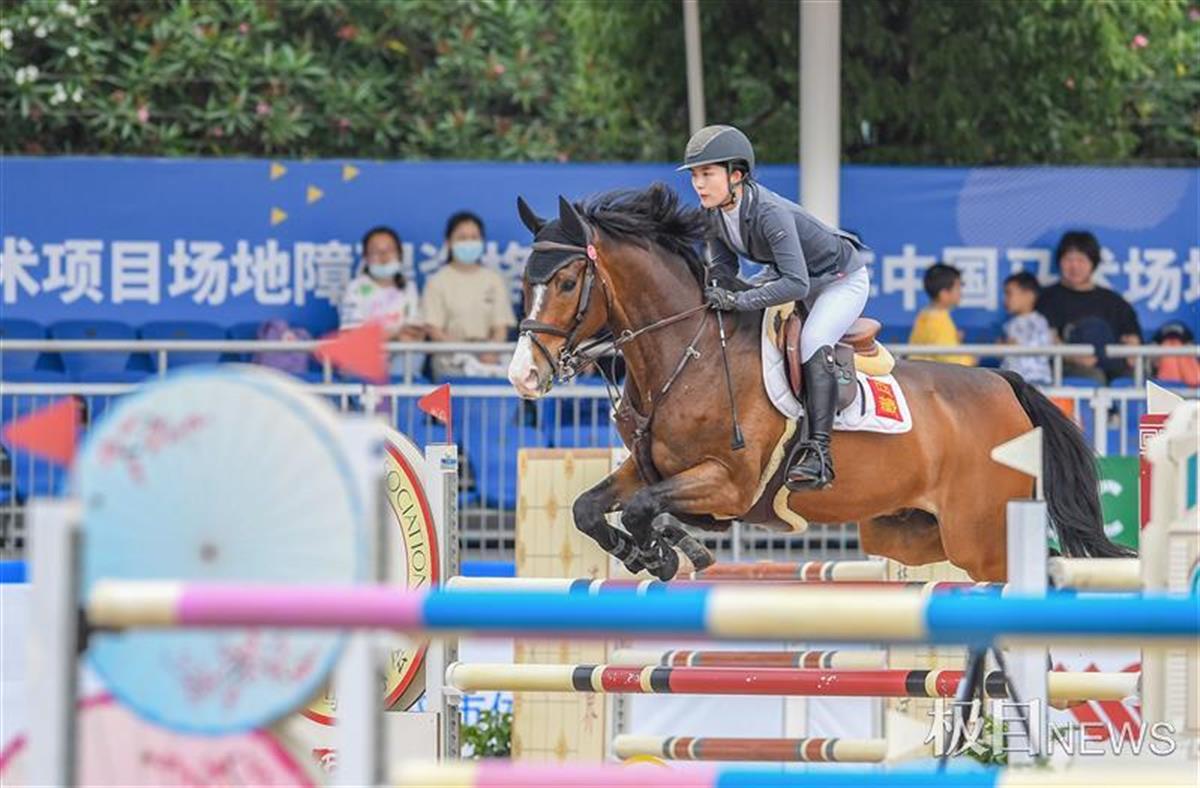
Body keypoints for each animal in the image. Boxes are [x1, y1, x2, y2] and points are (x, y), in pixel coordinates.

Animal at [504, 182, 1123, 578]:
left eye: (566, 283)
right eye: (524, 281)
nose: (524, 375)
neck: (687, 355)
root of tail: (1005, 386)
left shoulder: (729, 484)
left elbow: (641, 508)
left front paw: (664, 551)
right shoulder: (649, 468)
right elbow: (590, 508)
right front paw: (651, 552)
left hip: (981, 535)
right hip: (913, 531)